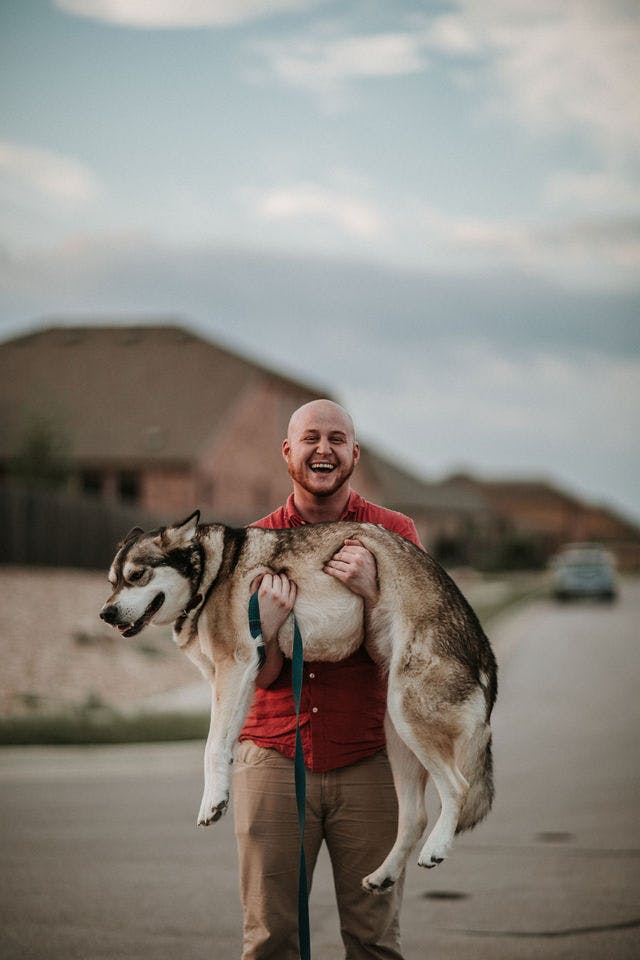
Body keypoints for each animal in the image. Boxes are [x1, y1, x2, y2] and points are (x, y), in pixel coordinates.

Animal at [101, 510, 500, 892]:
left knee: (458, 787)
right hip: (397, 730)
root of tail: (483, 652)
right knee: (414, 818)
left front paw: (211, 803)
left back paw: (436, 849)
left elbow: (212, 746)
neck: (209, 576)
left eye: (137, 575)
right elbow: (225, 741)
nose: (105, 614)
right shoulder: (243, 674)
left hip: (408, 714)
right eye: (112, 582)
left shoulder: (234, 664)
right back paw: (383, 875)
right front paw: (222, 792)